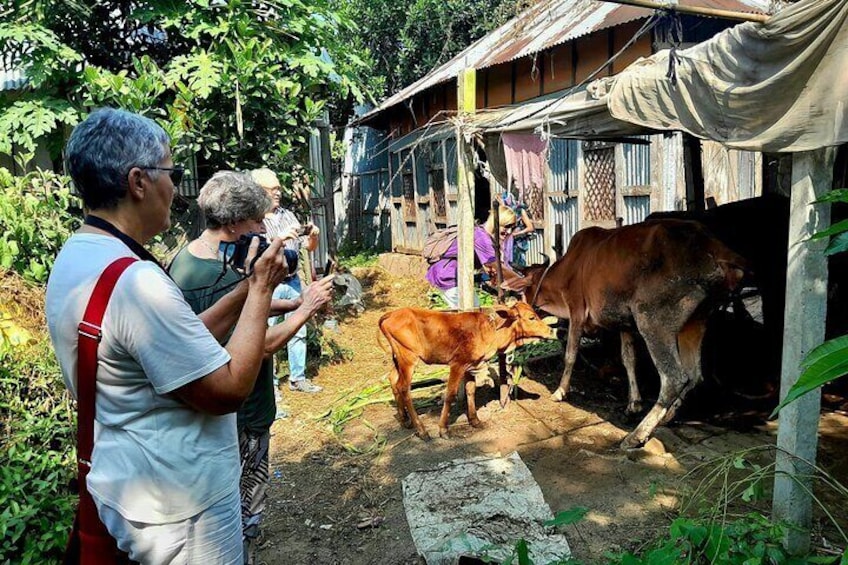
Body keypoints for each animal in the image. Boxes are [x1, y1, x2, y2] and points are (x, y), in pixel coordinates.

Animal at [380, 302, 556, 438]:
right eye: (531, 317)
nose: (550, 330)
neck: (490, 331)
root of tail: (390, 314)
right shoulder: (457, 364)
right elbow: (450, 395)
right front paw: (443, 429)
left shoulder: (470, 366)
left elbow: (470, 390)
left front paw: (475, 420)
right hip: (408, 359)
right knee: (403, 388)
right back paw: (421, 430)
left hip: (398, 359)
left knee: (393, 380)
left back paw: (404, 420)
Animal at [506, 218, 744, 448]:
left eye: (524, 289)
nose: (523, 308)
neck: (567, 268)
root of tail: (716, 251)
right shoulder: (625, 325)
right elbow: (629, 359)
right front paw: (633, 403)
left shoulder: (577, 311)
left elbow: (570, 355)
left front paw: (559, 392)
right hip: (696, 322)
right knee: (695, 375)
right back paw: (666, 417)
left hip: (652, 321)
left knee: (675, 378)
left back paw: (637, 435)